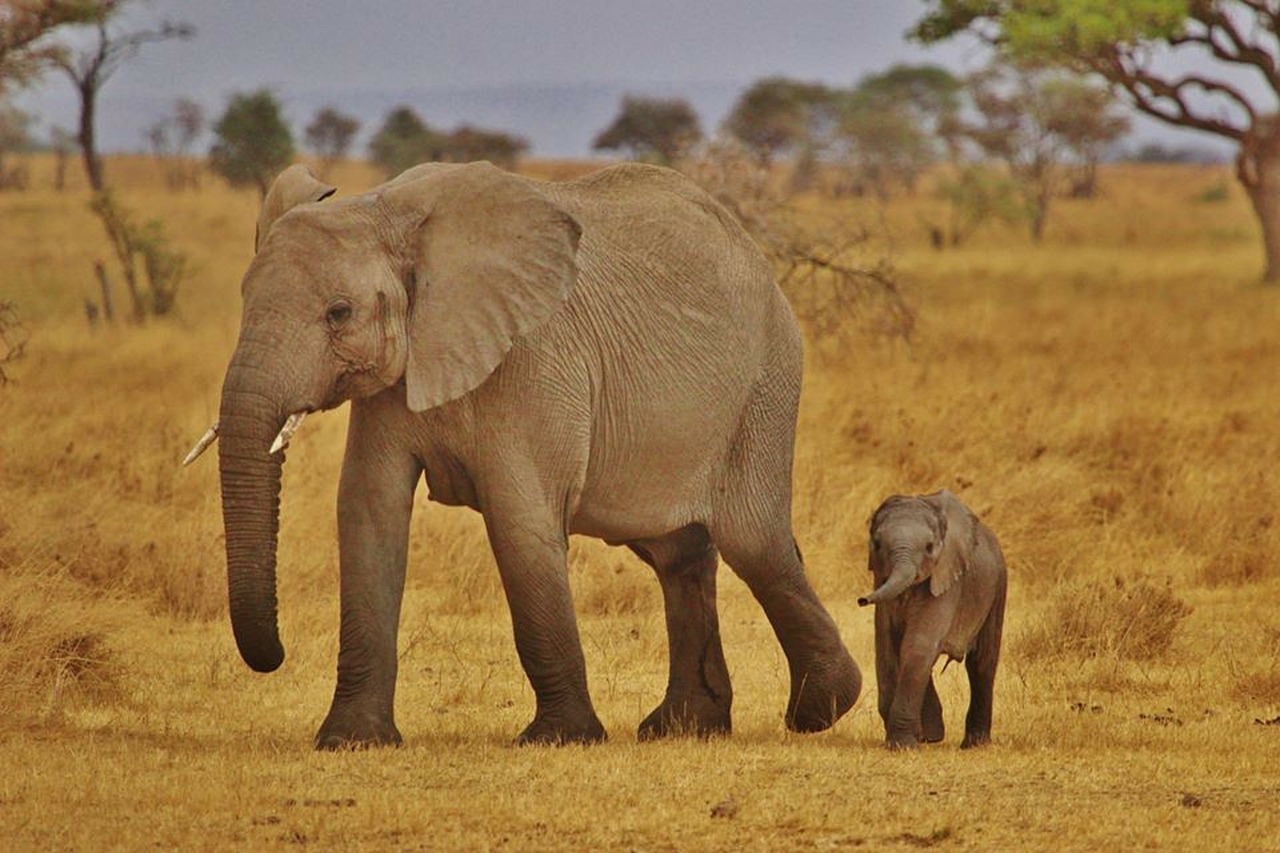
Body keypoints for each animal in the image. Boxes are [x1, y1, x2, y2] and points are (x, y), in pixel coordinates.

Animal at [192, 157, 860, 742]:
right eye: (244, 299)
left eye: (339, 313)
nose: (274, 656)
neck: (389, 212)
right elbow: (368, 513)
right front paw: (351, 740)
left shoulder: (535, 359)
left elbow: (520, 522)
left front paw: (560, 738)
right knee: (677, 554)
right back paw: (683, 727)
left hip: (766, 382)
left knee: (754, 541)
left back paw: (821, 710)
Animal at [860, 489, 1008, 747]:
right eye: (877, 545)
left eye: (929, 547)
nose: (862, 600)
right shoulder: (881, 581)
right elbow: (888, 646)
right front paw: (918, 739)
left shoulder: (948, 578)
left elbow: (919, 644)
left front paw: (902, 746)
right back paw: (933, 736)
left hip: (998, 586)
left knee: (982, 663)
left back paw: (974, 744)